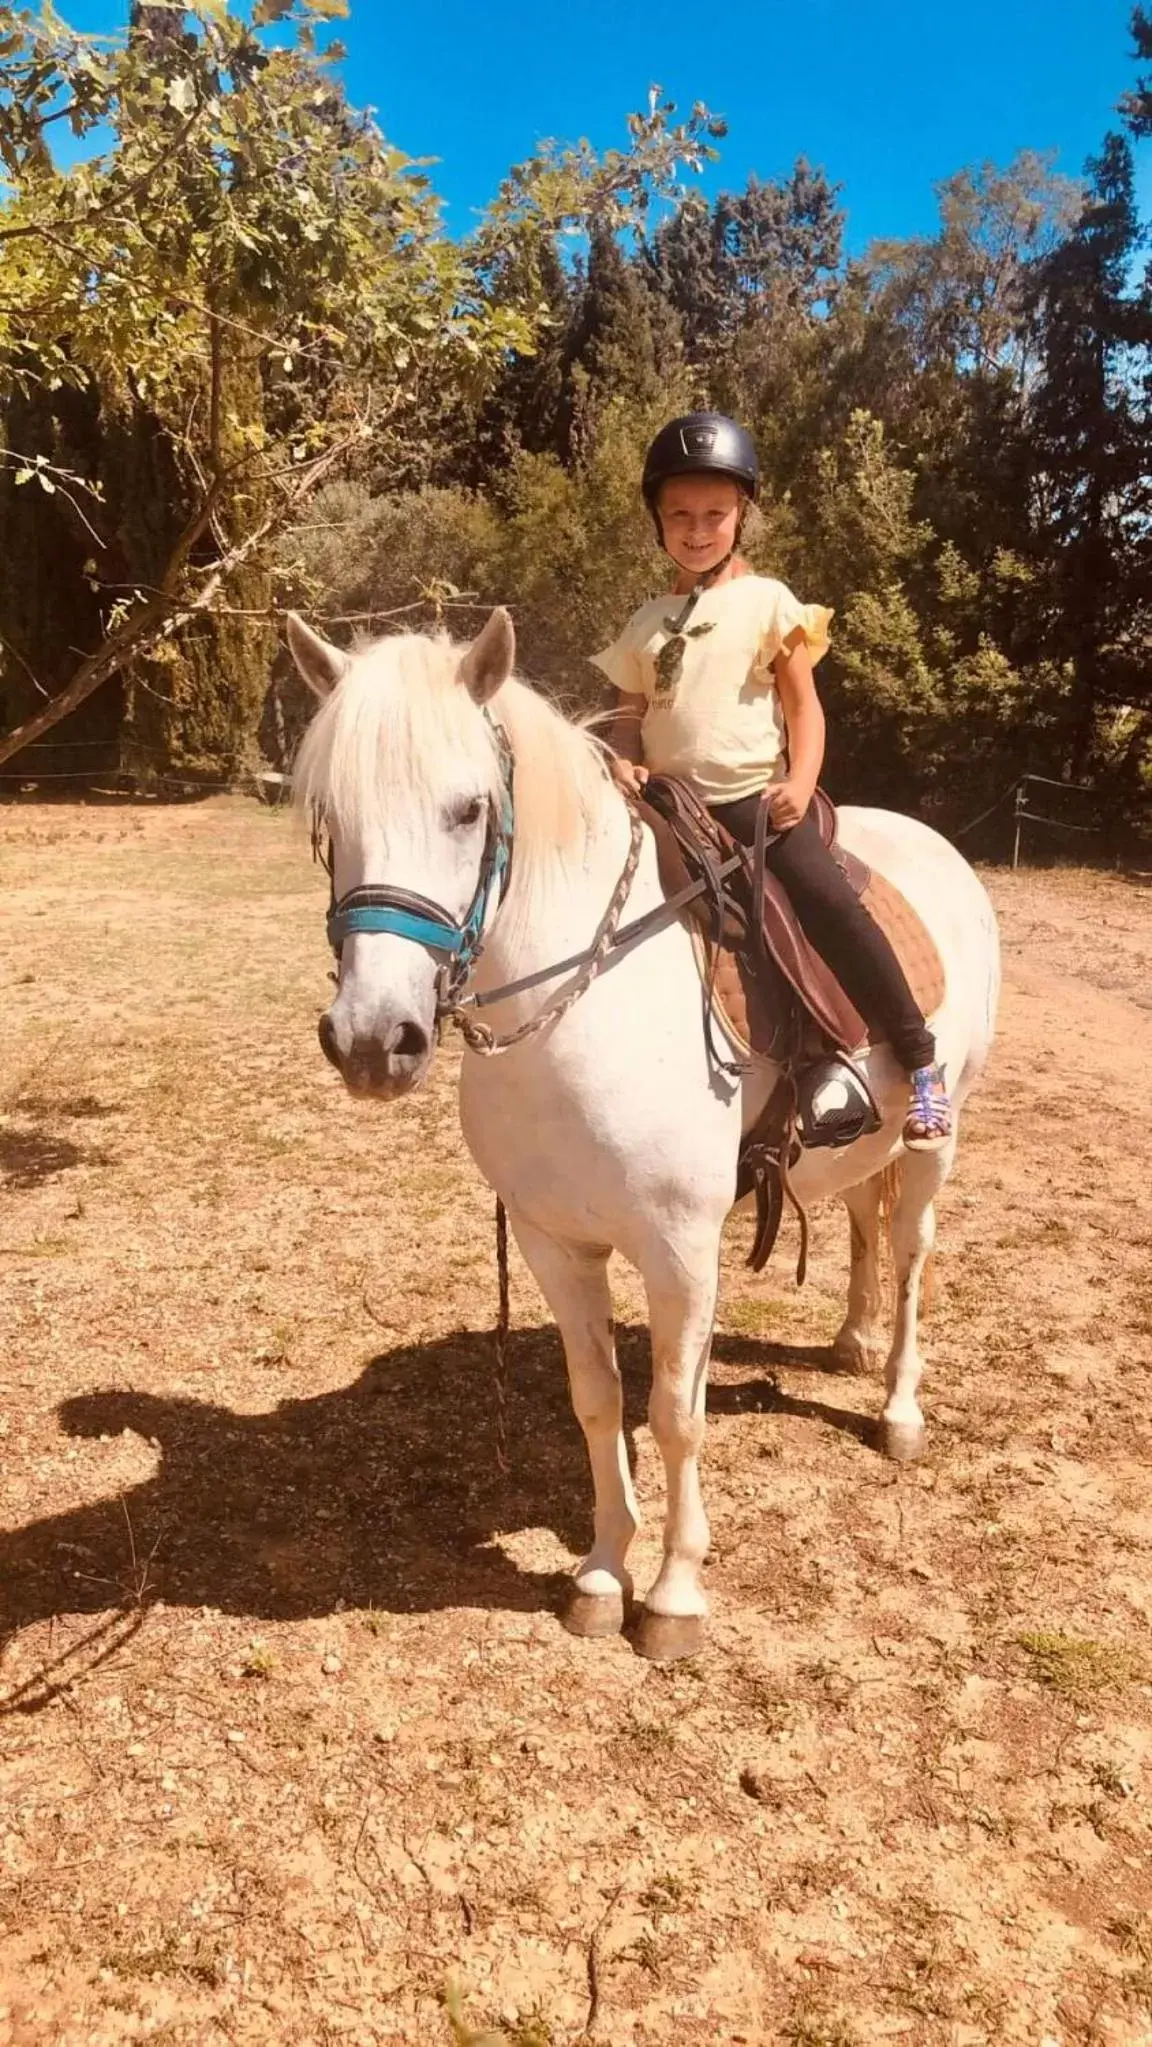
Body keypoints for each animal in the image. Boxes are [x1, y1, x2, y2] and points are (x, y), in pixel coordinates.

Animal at [288, 605, 1002, 1662]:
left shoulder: (680, 1249)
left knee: (912, 1254)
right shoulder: (554, 1243)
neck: (582, 1001)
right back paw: (850, 1341)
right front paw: (599, 1573)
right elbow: (597, 1399)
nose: (374, 1040)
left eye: (468, 810)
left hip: (932, 1142)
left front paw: (671, 1594)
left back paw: (899, 1405)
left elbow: (674, 1414)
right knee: (863, 1224)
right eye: (328, 820)